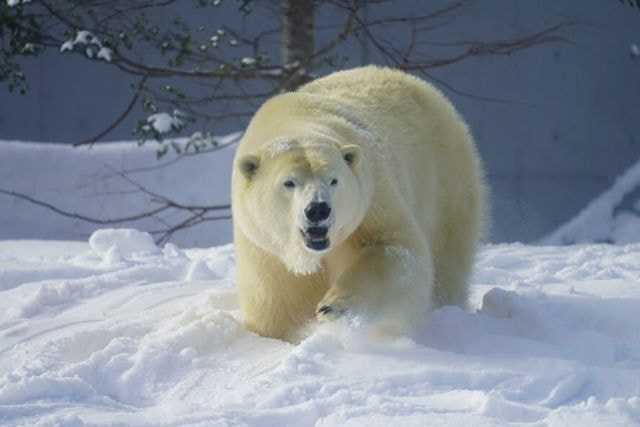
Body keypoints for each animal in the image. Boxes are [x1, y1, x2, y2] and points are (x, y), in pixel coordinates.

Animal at [232, 66, 488, 342]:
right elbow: (280, 302)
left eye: (334, 180)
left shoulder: (371, 196)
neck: (294, 118)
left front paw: (333, 306)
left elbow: (395, 248)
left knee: (447, 257)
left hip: (445, 182)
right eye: (289, 182)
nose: (318, 210)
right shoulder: (265, 248)